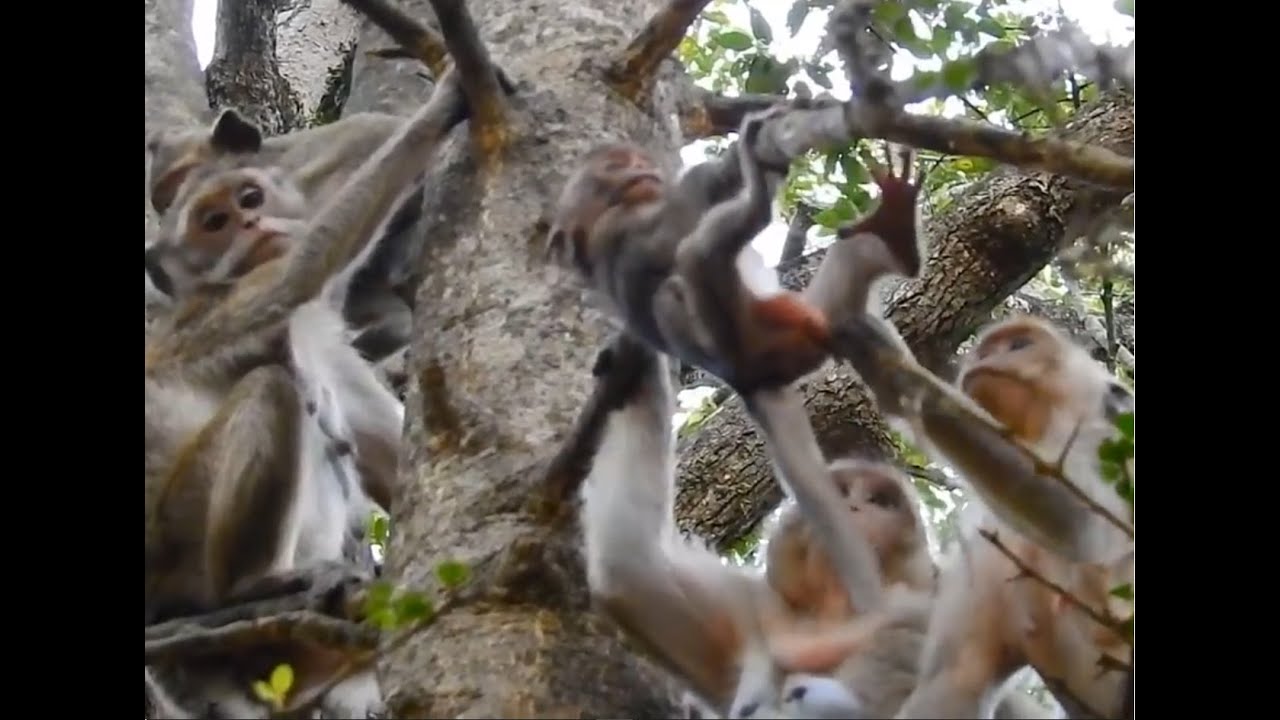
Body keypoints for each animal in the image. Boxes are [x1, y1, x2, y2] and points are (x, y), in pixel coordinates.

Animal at [144, 66, 470, 718]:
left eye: (250, 199)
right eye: (213, 224)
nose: (254, 225)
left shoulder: (326, 341)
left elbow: (389, 454)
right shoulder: (220, 308)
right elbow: (304, 268)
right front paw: (440, 108)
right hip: (179, 546)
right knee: (272, 389)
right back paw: (250, 589)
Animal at [550, 107, 927, 618]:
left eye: (632, 161)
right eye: (616, 165)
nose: (641, 169)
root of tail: (749, 378)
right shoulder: (638, 216)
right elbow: (680, 220)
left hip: (808, 318)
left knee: (848, 277)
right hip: (753, 327)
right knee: (694, 260)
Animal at [893, 316, 1135, 719]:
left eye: (1019, 345)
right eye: (985, 352)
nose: (986, 360)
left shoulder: (1108, 439)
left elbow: (1093, 533)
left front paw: (910, 385)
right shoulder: (983, 535)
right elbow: (959, 675)